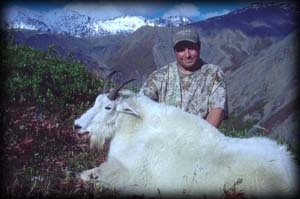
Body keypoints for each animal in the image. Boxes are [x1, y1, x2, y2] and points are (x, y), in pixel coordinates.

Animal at [74, 71, 296, 197]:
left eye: (108, 107)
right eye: (95, 101)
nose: (77, 125)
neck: (136, 126)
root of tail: (289, 168)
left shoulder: (131, 177)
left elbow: (89, 176)